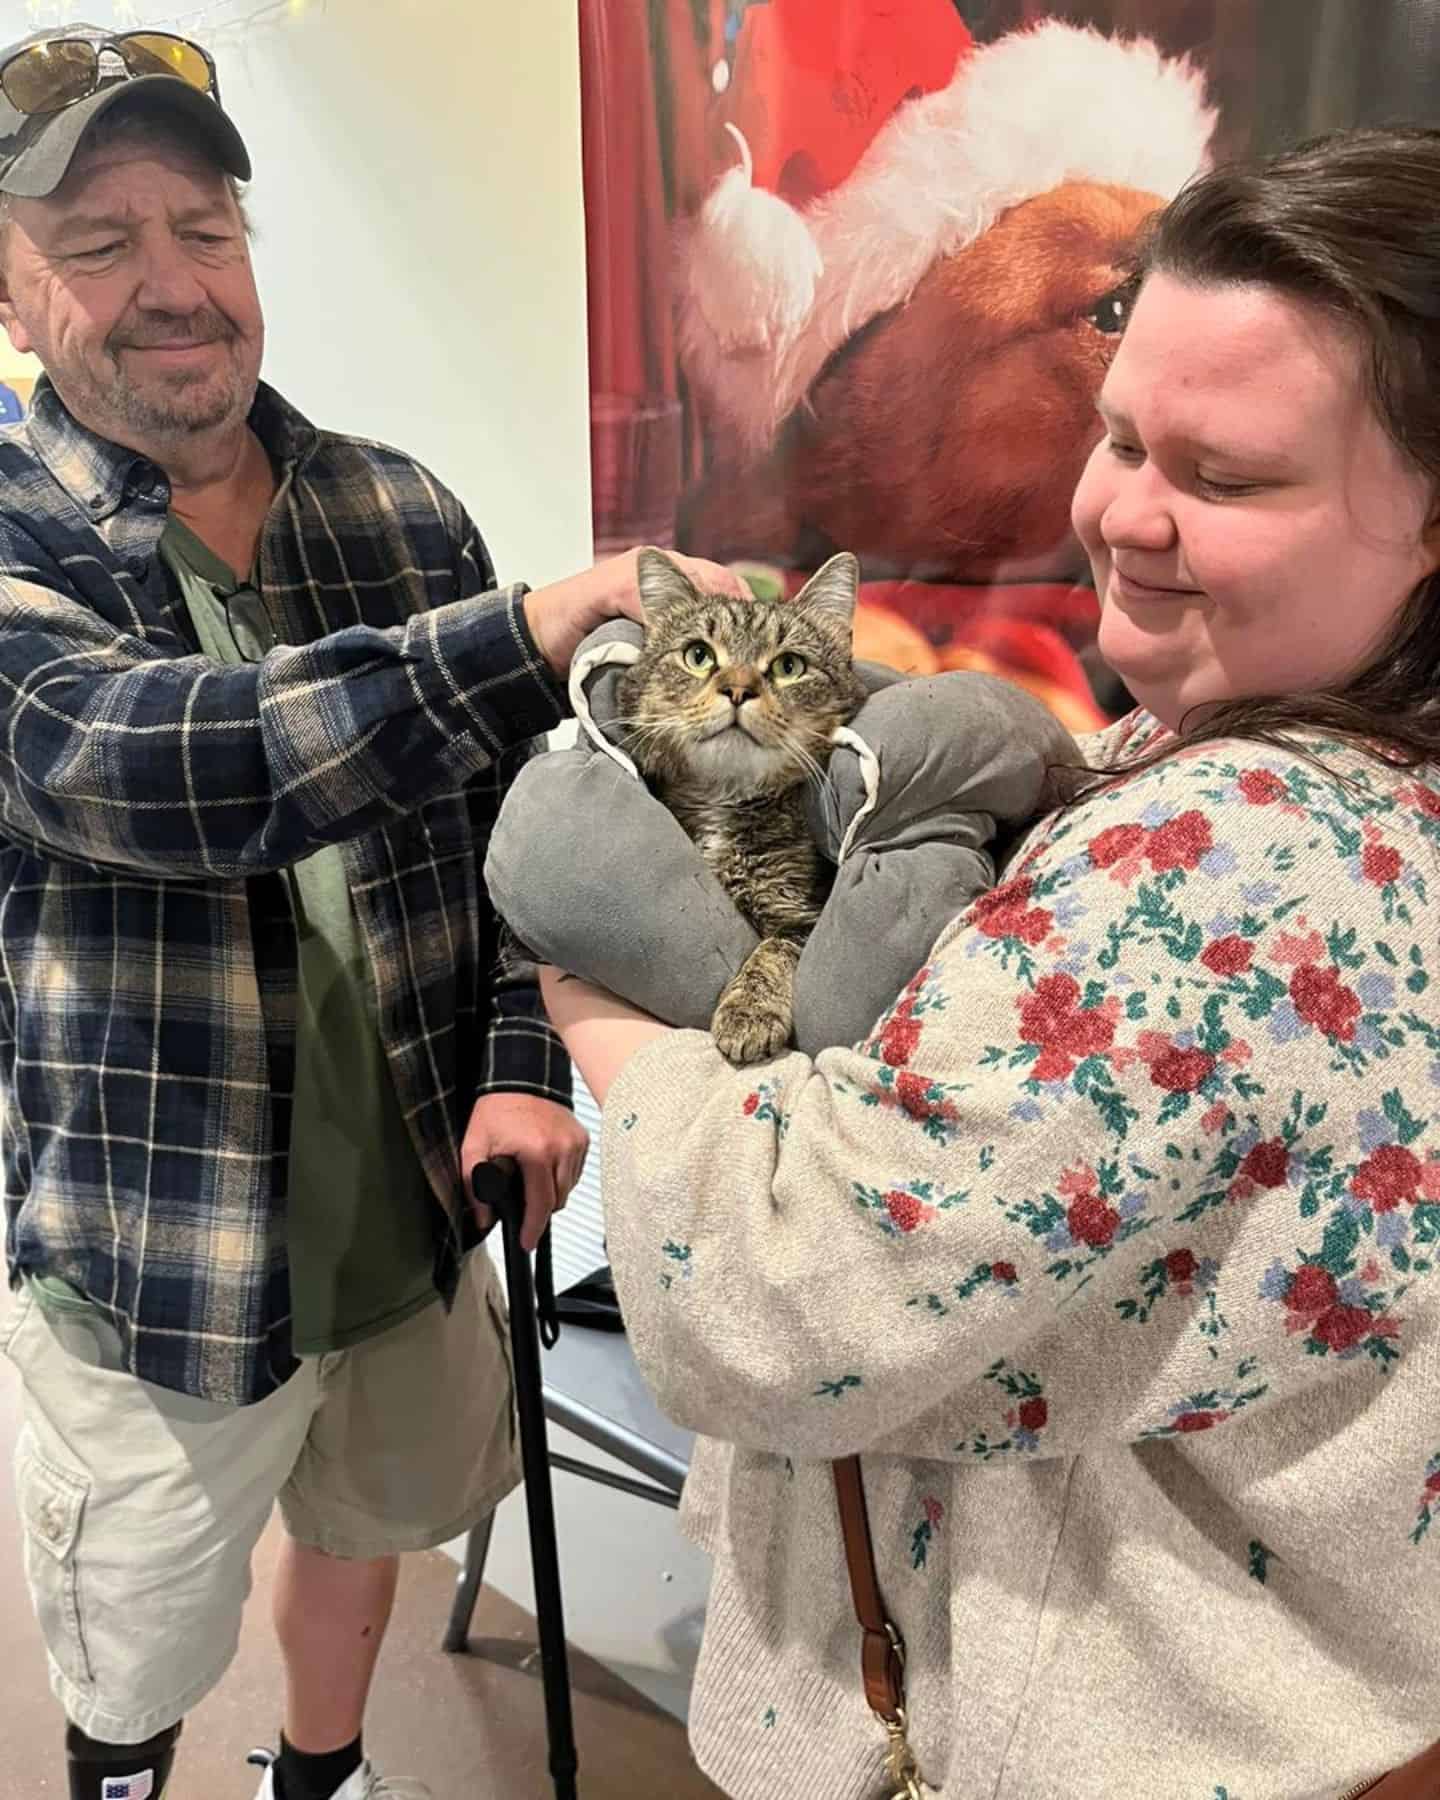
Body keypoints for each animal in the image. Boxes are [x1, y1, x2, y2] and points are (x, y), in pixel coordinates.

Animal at [482, 594, 1080, 1065]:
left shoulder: (801, 918)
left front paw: (747, 1015)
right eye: (698, 656)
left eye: (789, 666)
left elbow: (769, 954)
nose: (738, 688)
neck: (724, 803)